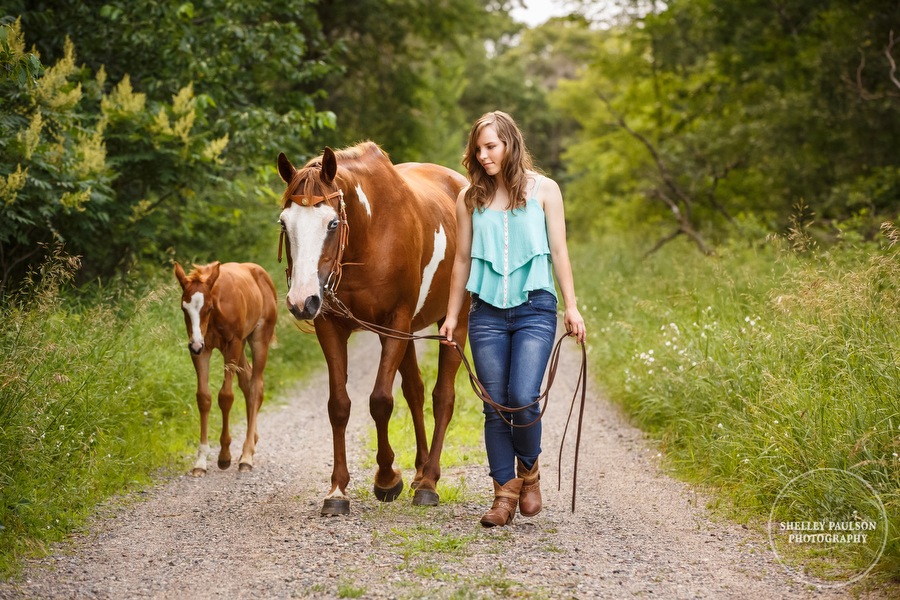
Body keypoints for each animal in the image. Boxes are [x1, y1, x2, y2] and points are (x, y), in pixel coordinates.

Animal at [174, 260, 276, 476]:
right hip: (240, 345)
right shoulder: (202, 350)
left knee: (256, 386)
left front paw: (224, 456)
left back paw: (246, 456)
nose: (195, 344)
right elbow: (204, 398)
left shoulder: (232, 344)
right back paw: (251, 443)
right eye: (184, 308)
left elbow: (226, 396)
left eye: (209, 307)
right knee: (247, 382)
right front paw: (201, 461)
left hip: (257, 339)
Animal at [278, 143, 468, 512]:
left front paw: (386, 479)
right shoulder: (330, 325)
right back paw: (420, 470)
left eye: (332, 223)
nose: (300, 301)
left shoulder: (394, 322)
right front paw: (338, 490)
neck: (370, 233)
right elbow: (338, 405)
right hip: (408, 333)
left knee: (443, 396)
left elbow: (380, 400)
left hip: (455, 321)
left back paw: (428, 482)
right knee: (415, 390)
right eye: (284, 222)